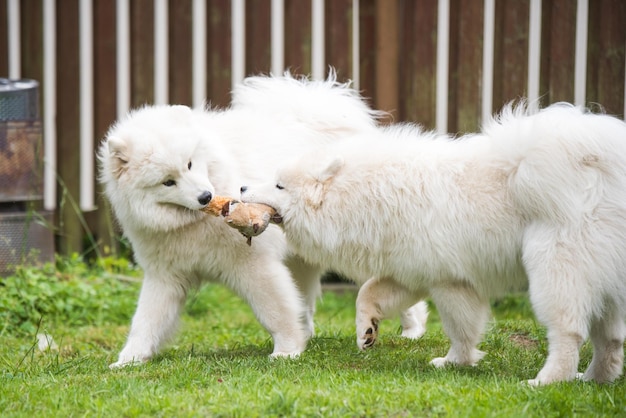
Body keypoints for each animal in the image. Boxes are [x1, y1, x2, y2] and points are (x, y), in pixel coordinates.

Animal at [98, 73, 428, 368]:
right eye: (168, 181)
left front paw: (287, 350)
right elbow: (146, 320)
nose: (205, 196)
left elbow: (274, 310)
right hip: (302, 257)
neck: (192, 223)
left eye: (190, 164)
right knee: (305, 299)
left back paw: (411, 330)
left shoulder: (253, 265)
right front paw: (129, 359)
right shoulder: (166, 275)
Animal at [241, 103, 624, 386]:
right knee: (610, 339)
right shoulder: (411, 271)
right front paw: (367, 330)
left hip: (555, 269)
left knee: (569, 331)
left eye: (279, 186)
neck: (372, 192)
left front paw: (456, 361)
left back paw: (548, 380)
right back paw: (594, 378)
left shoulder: (450, 282)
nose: (242, 187)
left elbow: (461, 328)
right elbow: (368, 293)